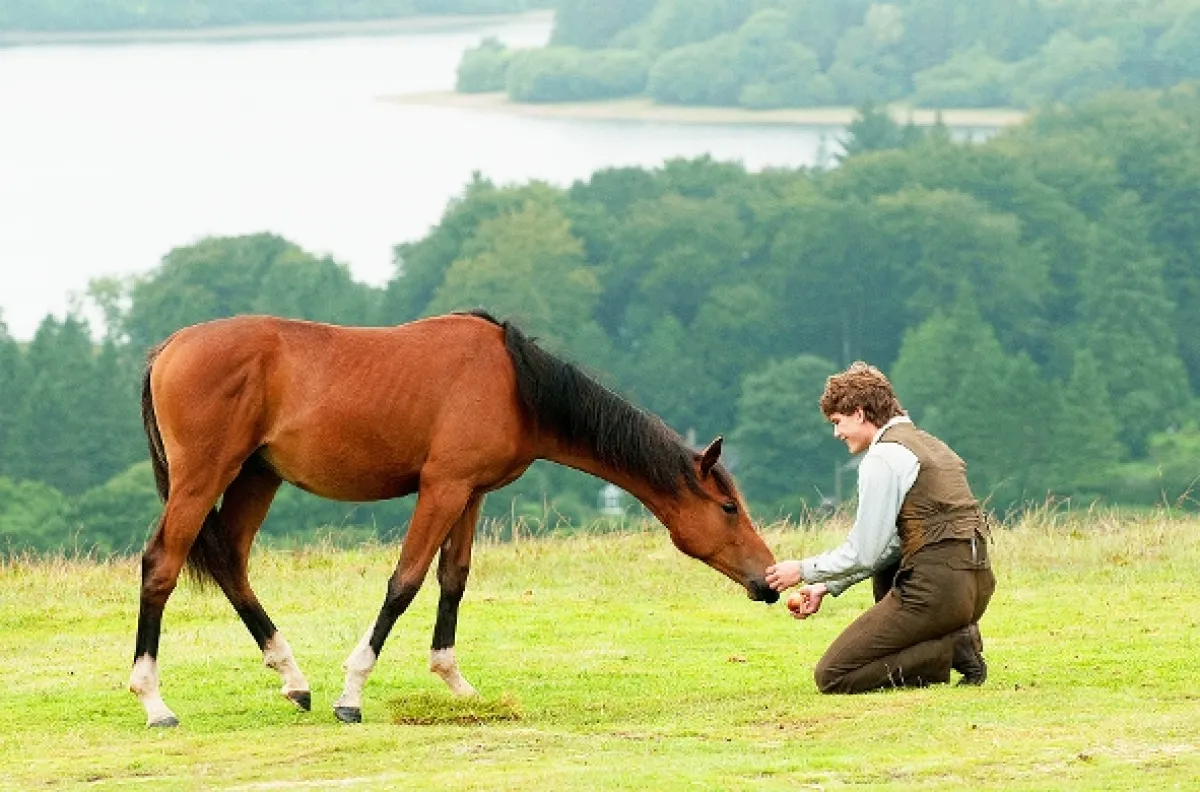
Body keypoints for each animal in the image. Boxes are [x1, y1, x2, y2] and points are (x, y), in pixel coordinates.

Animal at [129, 310, 779, 727]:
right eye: (728, 508)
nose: (769, 581)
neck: (514, 384)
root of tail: (166, 349)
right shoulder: (441, 489)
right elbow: (405, 583)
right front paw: (353, 692)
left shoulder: (470, 494)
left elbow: (453, 580)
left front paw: (454, 681)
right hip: (204, 477)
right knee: (162, 565)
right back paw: (154, 700)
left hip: (255, 477)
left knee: (232, 566)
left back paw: (292, 678)